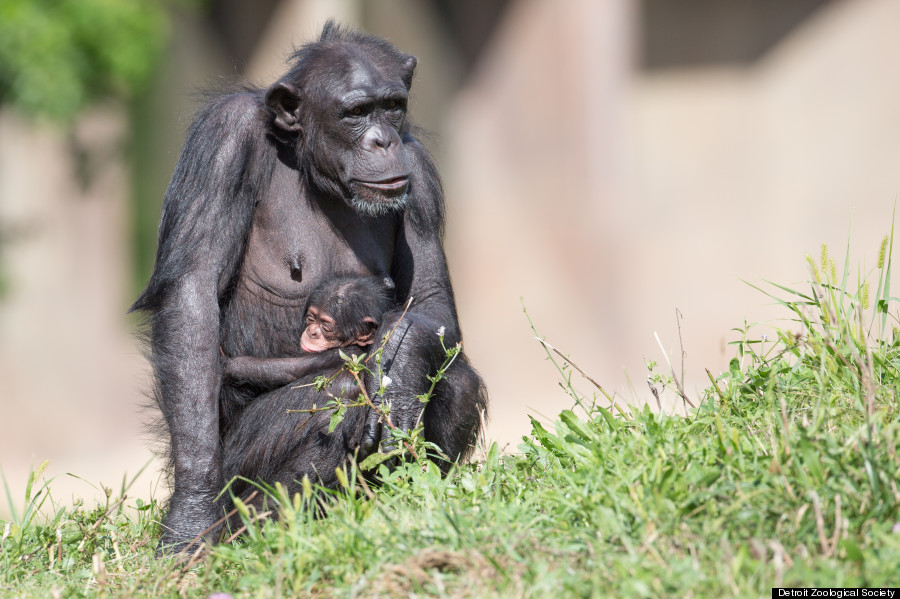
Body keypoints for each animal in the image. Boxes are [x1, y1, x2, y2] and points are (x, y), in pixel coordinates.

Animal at [130, 21, 488, 556]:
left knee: (454, 378)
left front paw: (401, 368)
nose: (383, 141)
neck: (307, 162)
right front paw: (190, 519)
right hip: (238, 469)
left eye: (392, 106)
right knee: (339, 397)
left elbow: (428, 301)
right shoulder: (223, 140)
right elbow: (192, 292)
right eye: (357, 113)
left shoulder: (419, 174)